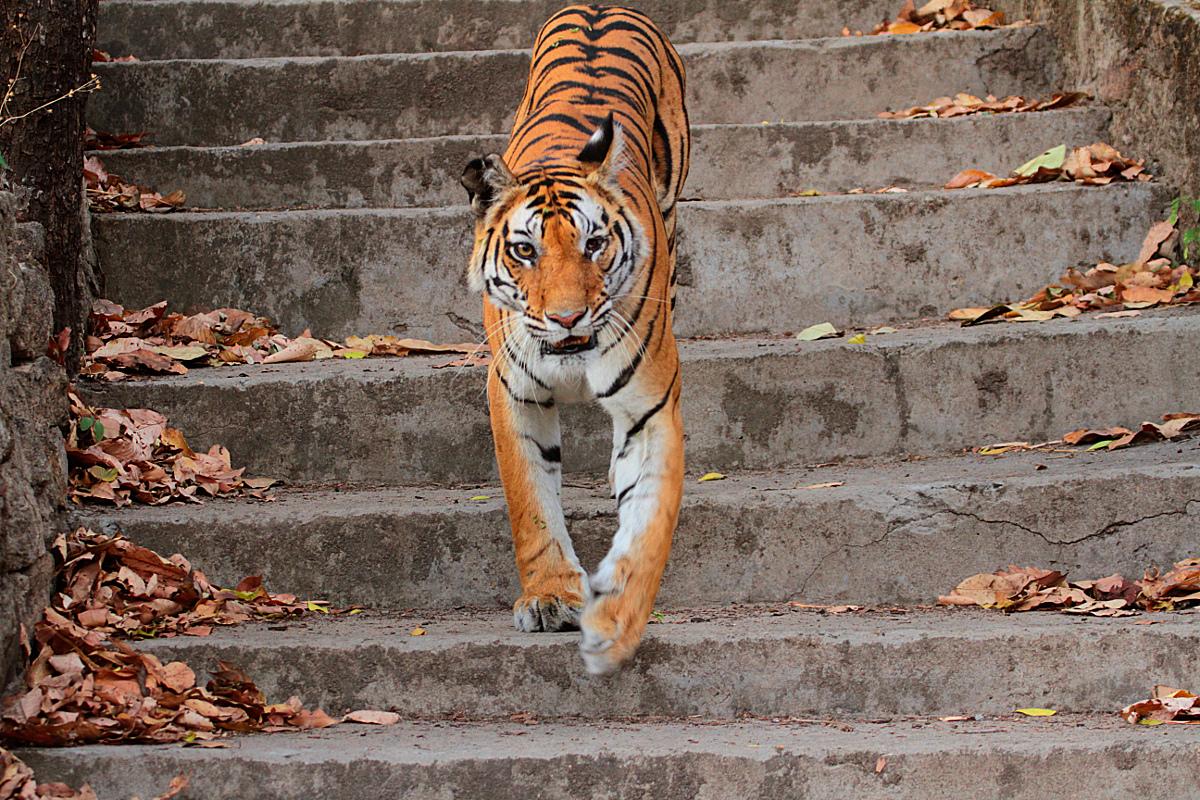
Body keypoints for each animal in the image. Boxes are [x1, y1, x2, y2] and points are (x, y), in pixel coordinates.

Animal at [460, 4, 690, 675]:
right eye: (524, 250)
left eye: (594, 243)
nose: (567, 318)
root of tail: (600, 7)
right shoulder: (512, 392)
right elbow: (531, 503)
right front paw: (550, 598)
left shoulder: (649, 406)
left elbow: (649, 521)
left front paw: (615, 622)